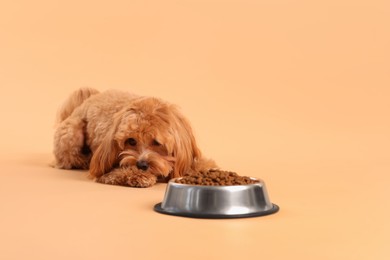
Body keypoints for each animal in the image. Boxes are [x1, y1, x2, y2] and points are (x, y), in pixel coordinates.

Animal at [53, 88, 216, 188]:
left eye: (156, 142)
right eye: (131, 141)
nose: (141, 165)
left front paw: (206, 167)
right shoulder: (108, 168)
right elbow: (121, 172)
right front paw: (140, 176)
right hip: (71, 133)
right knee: (68, 158)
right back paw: (82, 161)